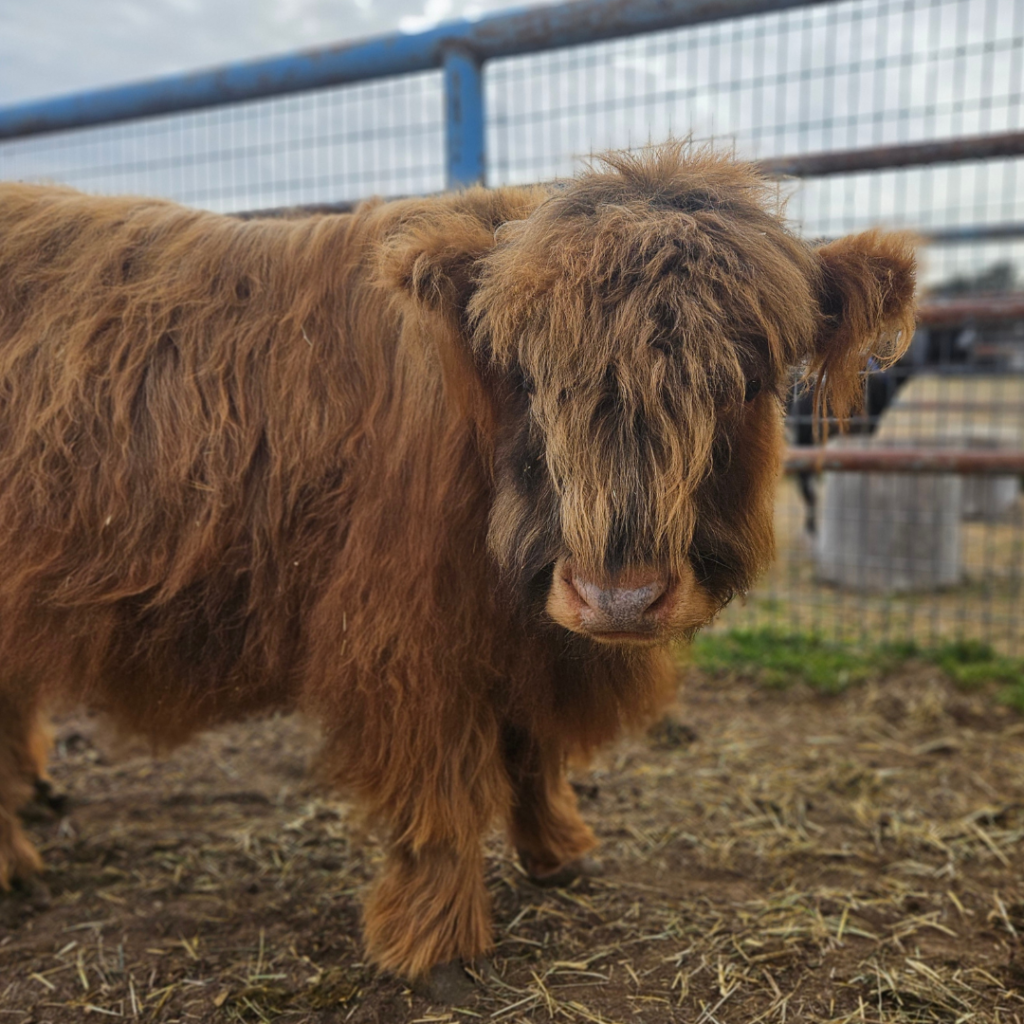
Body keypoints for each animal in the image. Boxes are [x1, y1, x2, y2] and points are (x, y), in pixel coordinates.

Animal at [0, 145, 916, 1000]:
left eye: (745, 381)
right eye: (530, 378)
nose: (619, 597)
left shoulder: (531, 637)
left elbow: (535, 748)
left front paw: (561, 853)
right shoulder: (407, 645)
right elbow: (438, 794)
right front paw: (439, 948)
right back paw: (18, 866)